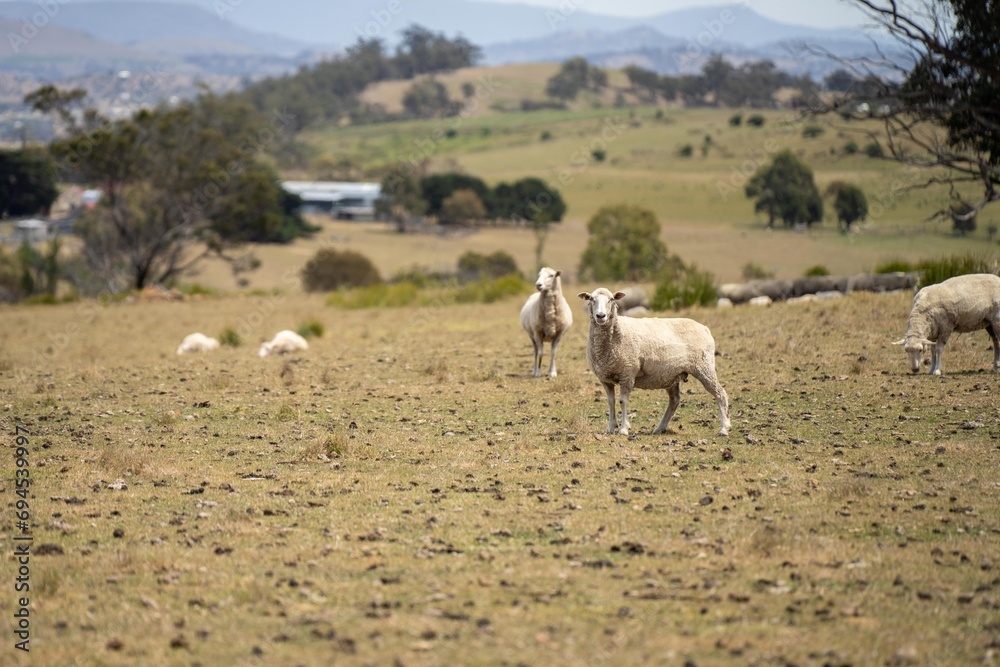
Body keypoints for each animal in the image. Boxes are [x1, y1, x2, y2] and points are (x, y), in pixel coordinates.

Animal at [576, 288, 732, 438]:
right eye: (591, 299)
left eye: (611, 299)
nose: (600, 316)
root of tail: (704, 328)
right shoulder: (605, 378)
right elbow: (610, 402)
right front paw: (610, 428)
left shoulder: (627, 373)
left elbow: (622, 401)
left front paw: (623, 429)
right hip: (672, 375)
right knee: (674, 400)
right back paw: (660, 428)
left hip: (704, 367)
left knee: (720, 393)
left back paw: (724, 428)